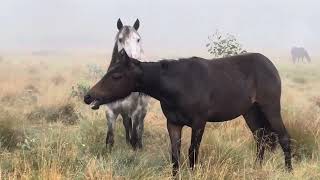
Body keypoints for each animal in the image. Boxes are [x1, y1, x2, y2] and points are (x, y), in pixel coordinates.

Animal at [83, 49, 292, 176]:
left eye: (116, 76)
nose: (88, 96)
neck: (179, 84)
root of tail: (270, 65)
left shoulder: (199, 123)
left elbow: (192, 152)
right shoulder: (173, 124)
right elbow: (175, 154)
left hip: (271, 108)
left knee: (283, 137)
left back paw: (288, 170)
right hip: (251, 112)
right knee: (260, 138)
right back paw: (257, 168)